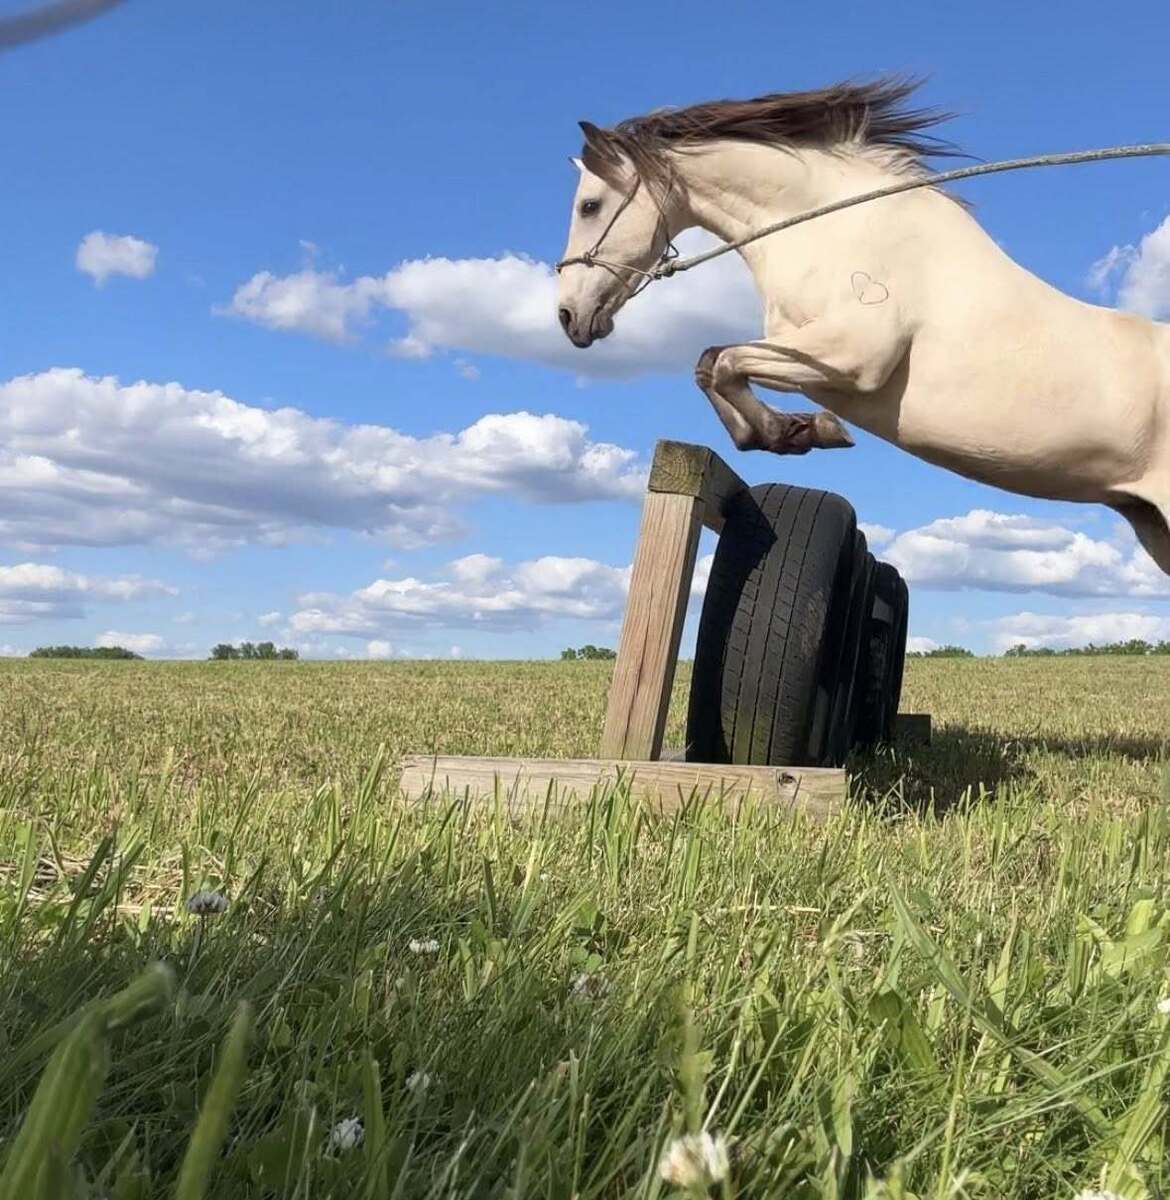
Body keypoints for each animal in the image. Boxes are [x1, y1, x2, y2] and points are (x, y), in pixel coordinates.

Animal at [554, 78, 1170, 574]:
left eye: (589, 206)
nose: (568, 318)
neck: (833, 227)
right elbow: (710, 366)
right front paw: (788, 432)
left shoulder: (850, 361)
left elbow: (722, 361)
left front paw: (802, 431)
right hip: (1150, 524)